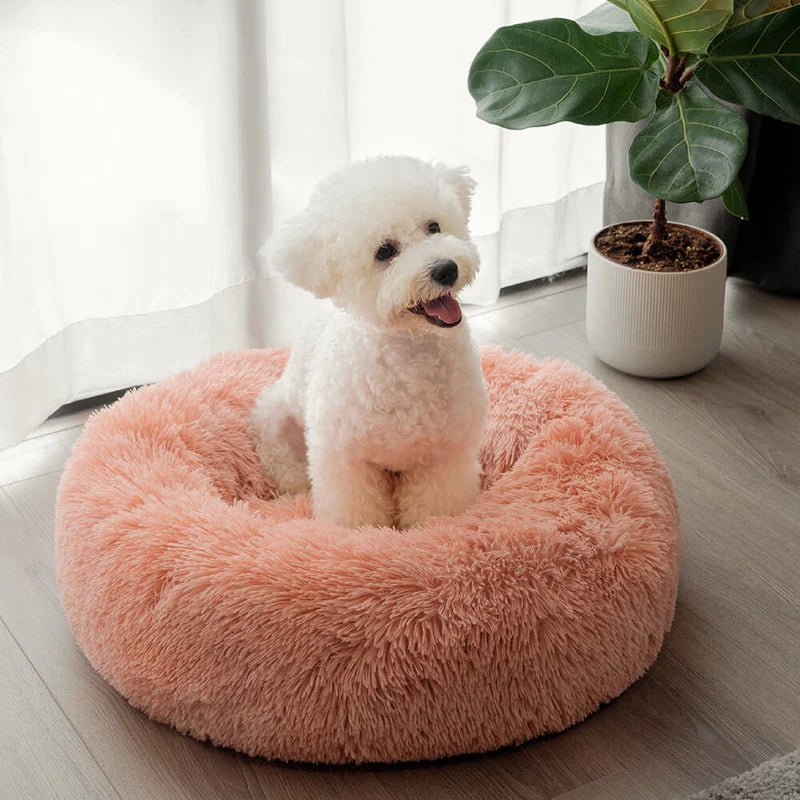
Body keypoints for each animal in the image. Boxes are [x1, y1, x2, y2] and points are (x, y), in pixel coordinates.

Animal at [252, 156, 488, 532]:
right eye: (385, 251)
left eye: (434, 227)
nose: (446, 269)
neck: (408, 351)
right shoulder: (344, 459)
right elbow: (354, 510)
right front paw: (363, 534)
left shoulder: (445, 454)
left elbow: (435, 507)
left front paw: (429, 529)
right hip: (276, 422)